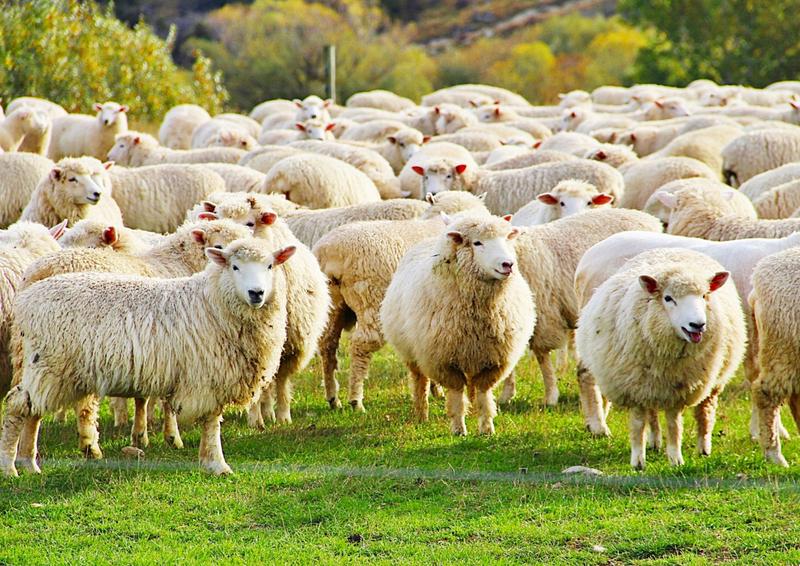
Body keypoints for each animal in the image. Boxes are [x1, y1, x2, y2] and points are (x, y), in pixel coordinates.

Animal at [314, 191, 492, 411]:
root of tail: (329, 251)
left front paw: (435, 390)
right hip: (370, 301)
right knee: (360, 346)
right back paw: (356, 400)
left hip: (333, 304)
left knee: (327, 344)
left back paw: (333, 398)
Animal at [380, 215, 535, 434]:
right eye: (477, 243)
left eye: (506, 239)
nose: (508, 264)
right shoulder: (443, 361)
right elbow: (455, 395)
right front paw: (458, 429)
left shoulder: (494, 360)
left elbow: (483, 394)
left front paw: (487, 428)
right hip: (413, 354)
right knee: (420, 382)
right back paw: (421, 415)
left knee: (471, 386)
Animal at [576, 248, 745, 468]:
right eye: (668, 298)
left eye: (704, 295)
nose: (698, 325)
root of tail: (673, 249)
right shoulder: (635, 387)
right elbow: (638, 424)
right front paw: (638, 461)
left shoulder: (680, 389)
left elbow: (674, 425)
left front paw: (675, 459)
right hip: (649, 383)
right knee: (652, 412)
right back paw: (653, 441)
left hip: (713, 380)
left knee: (705, 411)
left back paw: (703, 448)